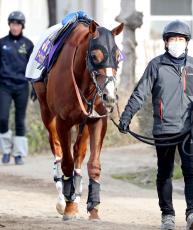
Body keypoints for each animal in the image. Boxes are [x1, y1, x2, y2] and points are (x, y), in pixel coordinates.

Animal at [32, 19, 123, 219]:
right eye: (95, 56)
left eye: (117, 56)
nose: (110, 96)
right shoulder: (63, 121)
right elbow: (66, 163)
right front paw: (68, 207)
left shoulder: (96, 120)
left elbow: (93, 164)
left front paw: (93, 208)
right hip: (47, 113)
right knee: (58, 151)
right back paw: (63, 198)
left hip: (84, 123)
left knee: (79, 153)